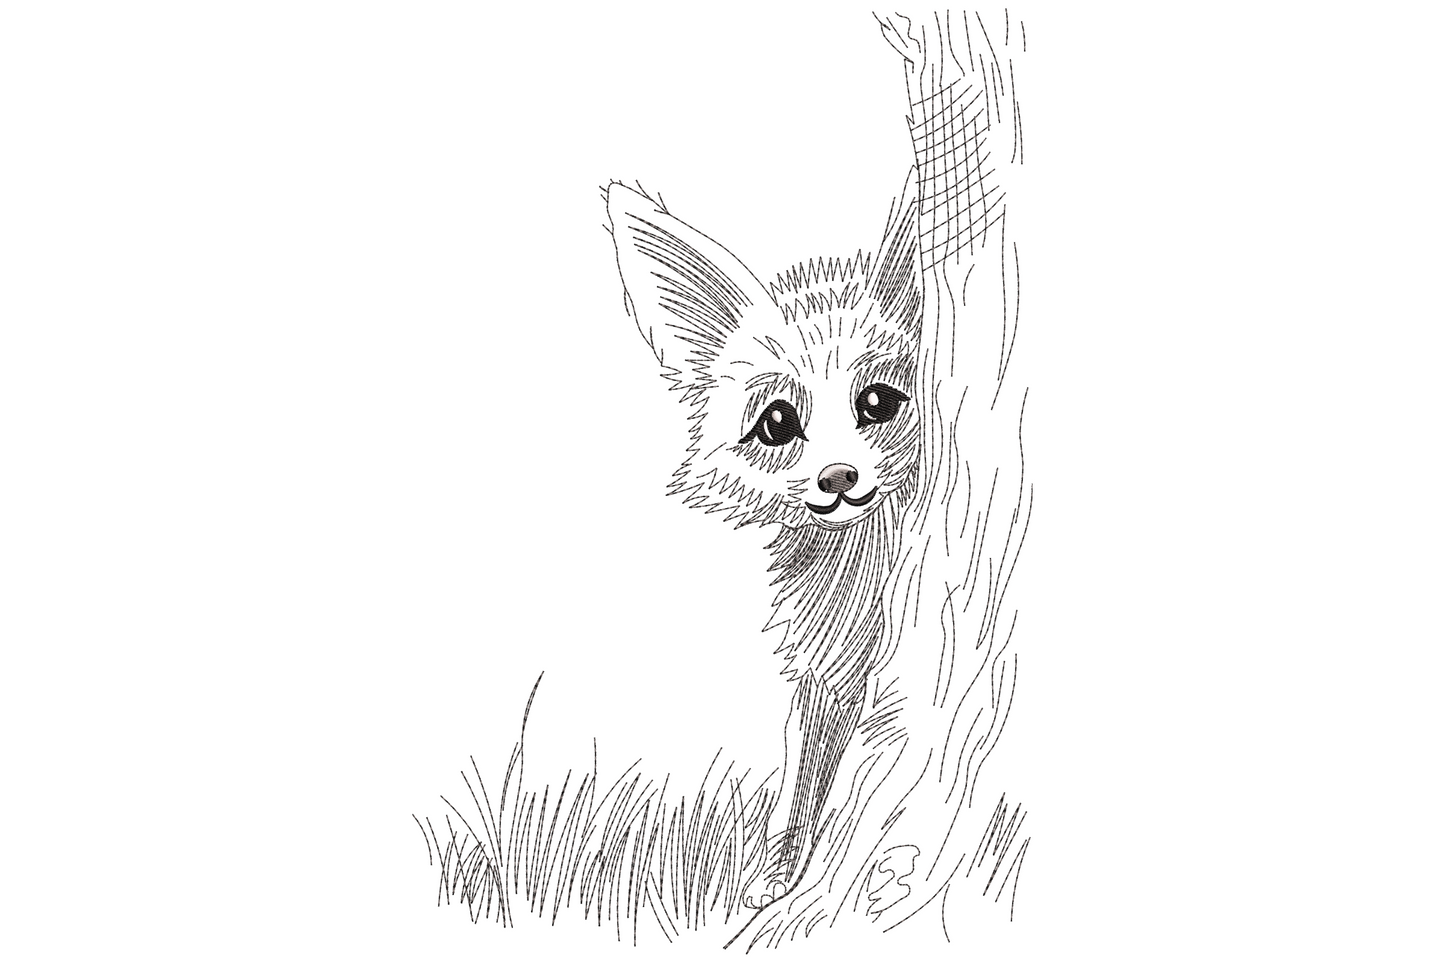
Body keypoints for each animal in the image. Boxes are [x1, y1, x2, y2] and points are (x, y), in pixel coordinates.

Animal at [604, 176, 924, 910]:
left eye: (878, 402)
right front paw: (782, 869)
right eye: (777, 423)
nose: (839, 476)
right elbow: (800, 779)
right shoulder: (826, 669)